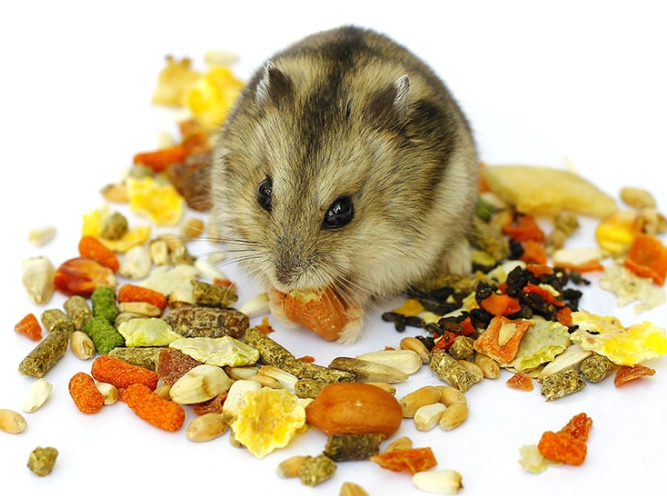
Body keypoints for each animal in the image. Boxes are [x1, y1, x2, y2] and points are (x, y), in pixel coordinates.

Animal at [211, 26, 478, 343]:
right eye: (263, 192)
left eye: (341, 211)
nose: (285, 280)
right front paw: (280, 307)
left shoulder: (397, 259)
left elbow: (362, 288)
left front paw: (347, 331)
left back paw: (460, 263)